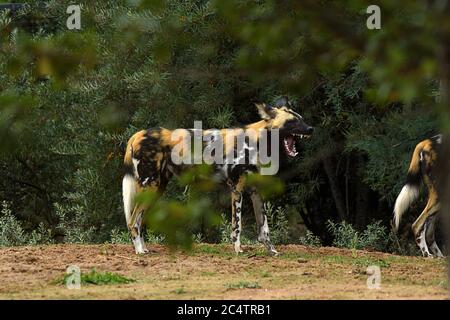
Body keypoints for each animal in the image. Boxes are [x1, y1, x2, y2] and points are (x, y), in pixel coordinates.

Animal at [121, 95, 314, 255]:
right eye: (292, 122)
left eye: (302, 119)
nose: (311, 128)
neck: (258, 143)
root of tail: (138, 133)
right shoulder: (236, 188)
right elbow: (237, 225)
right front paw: (238, 250)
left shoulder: (256, 192)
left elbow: (264, 228)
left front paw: (271, 251)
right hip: (150, 186)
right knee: (133, 221)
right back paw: (139, 251)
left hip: (156, 189)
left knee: (139, 221)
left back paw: (144, 248)